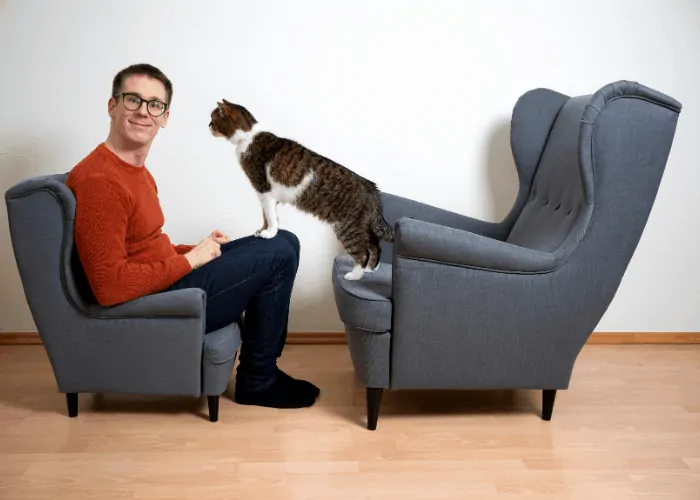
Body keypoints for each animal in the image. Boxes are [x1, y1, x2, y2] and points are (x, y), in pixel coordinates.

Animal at [208, 97, 394, 282]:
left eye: (213, 118)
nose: (208, 125)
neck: (248, 136)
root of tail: (371, 187)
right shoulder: (264, 196)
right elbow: (265, 216)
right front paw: (262, 230)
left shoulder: (264, 190)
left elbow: (271, 217)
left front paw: (269, 233)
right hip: (361, 225)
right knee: (375, 245)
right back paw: (370, 269)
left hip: (348, 228)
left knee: (362, 252)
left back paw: (354, 275)